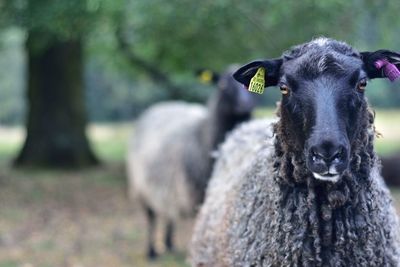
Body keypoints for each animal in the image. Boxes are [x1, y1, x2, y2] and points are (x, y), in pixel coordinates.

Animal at [126, 66, 255, 260]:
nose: (245, 105)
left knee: (168, 213)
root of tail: (159, 106)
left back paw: (169, 243)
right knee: (151, 217)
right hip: (142, 186)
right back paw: (152, 251)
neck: (202, 135)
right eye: (222, 85)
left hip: (168, 184)